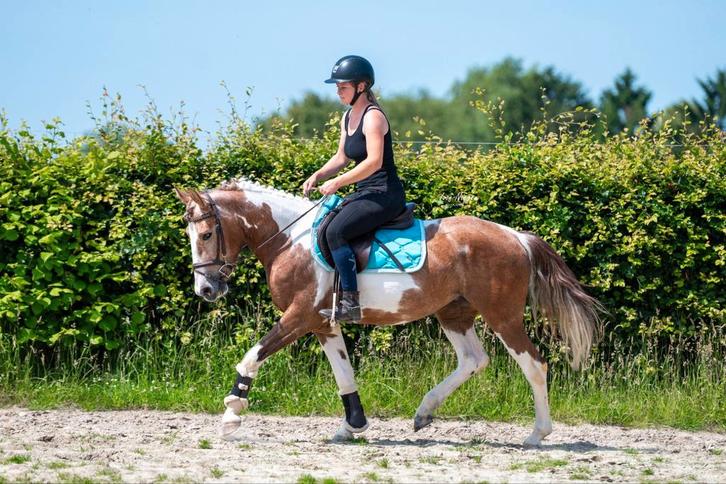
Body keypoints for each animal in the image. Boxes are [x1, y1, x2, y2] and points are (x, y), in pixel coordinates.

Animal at [175, 178, 602, 446]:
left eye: (207, 234)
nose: (206, 290)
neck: (288, 239)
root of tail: (517, 236)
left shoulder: (299, 317)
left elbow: (252, 355)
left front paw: (232, 413)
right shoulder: (322, 324)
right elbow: (344, 373)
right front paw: (353, 426)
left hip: (503, 316)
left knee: (534, 364)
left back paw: (537, 435)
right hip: (454, 314)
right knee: (473, 360)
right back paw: (424, 412)